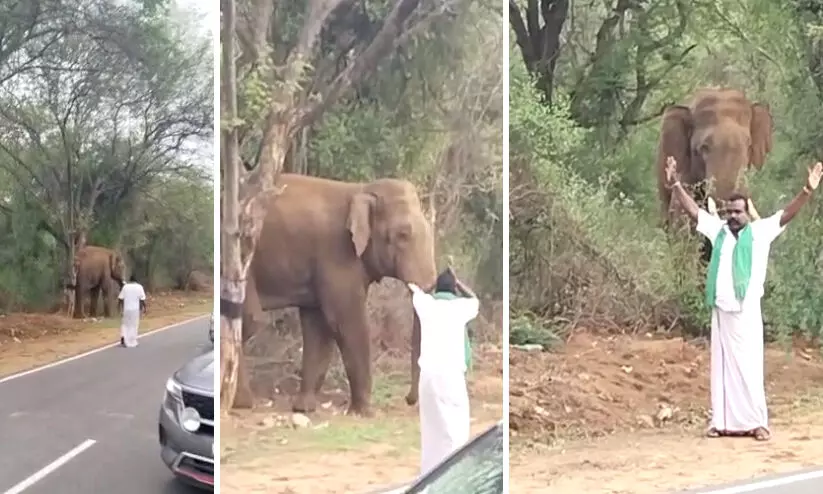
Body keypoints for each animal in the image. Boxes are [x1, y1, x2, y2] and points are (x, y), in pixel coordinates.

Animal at [235, 173, 438, 417]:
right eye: (402, 235)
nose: (409, 399)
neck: (360, 189)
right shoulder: (337, 254)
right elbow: (346, 322)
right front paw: (364, 412)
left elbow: (318, 327)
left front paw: (304, 408)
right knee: (250, 320)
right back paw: (242, 403)